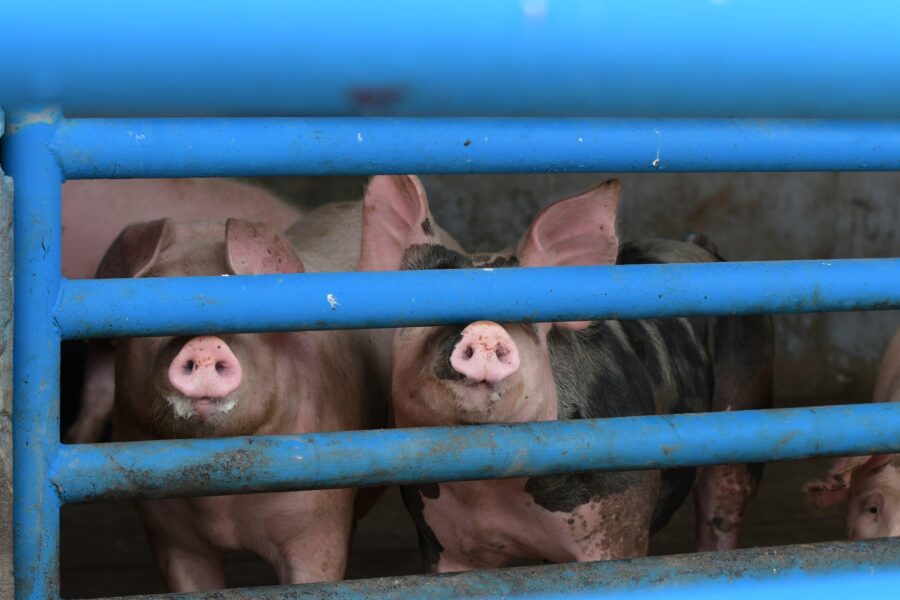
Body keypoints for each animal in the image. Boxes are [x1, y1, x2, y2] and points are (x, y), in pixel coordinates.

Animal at [358, 178, 774, 572]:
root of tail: (702, 247)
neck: (494, 489)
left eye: (529, 320)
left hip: (746, 401)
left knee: (722, 510)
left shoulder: (620, 518)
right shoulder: (441, 540)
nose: (484, 330)